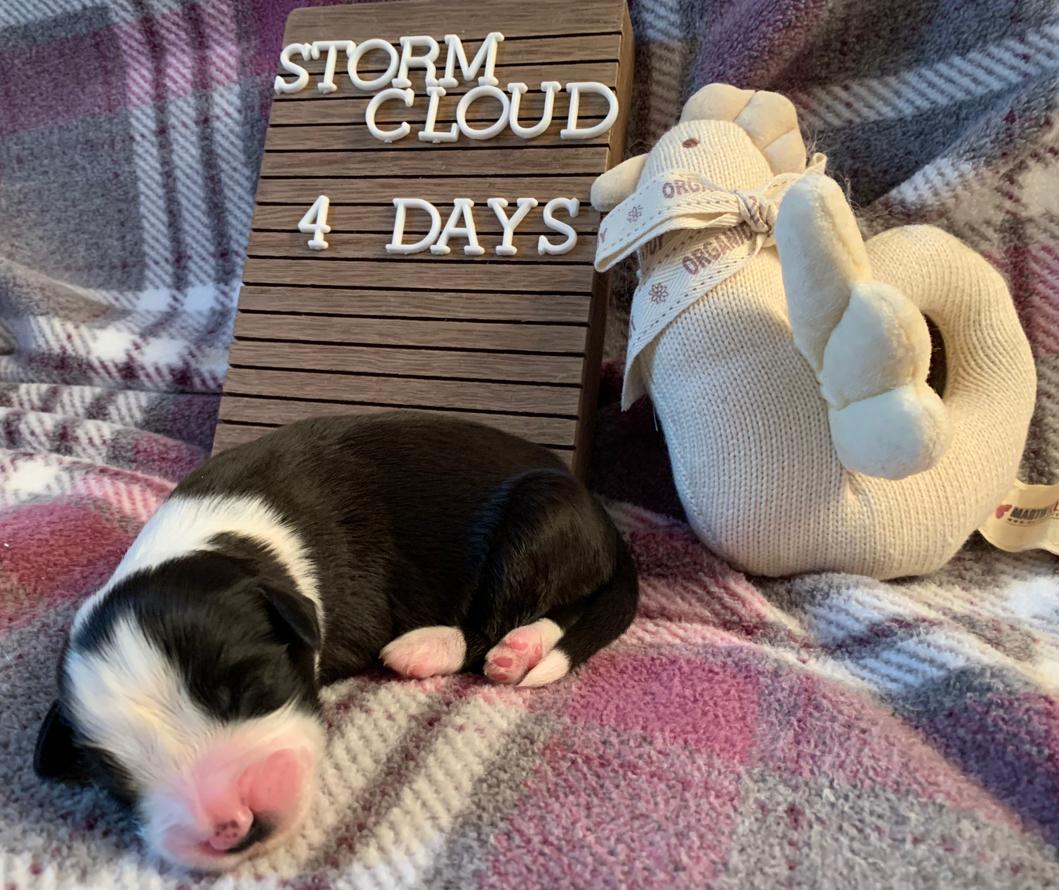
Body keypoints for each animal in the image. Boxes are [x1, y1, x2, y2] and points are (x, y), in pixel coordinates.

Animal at [33, 412, 638, 872]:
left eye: (249, 689)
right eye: (115, 779)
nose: (232, 825)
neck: (226, 542)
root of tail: (604, 521)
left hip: (540, 521)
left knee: (525, 611)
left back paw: (475, 648)